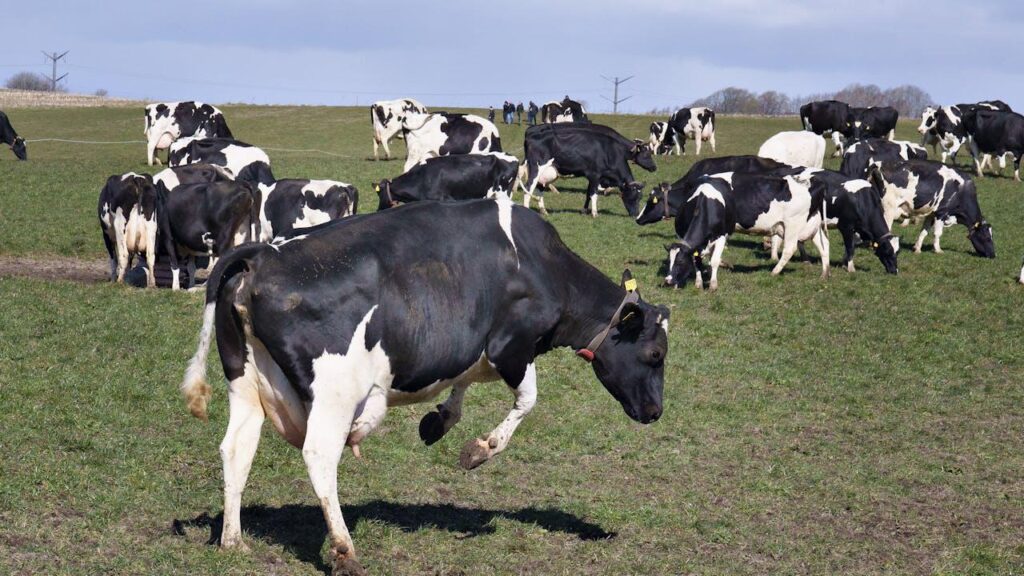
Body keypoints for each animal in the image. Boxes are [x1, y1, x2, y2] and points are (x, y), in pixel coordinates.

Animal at [178, 196, 669, 574]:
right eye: (655, 354)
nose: (655, 412)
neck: (542, 266)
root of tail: (262, 255)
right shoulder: (511, 346)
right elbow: (528, 399)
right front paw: (479, 449)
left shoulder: (473, 348)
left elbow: (461, 385)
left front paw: (440, 421)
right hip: (335, 396)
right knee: (319, 457)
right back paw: (344, 551)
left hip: (245, 385)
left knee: (236, 449)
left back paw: (233, 540)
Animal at [521, 123, 656, 217]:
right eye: (633, 196)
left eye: (640, 197)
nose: (635, 215)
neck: (610, 151)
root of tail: (531, 134)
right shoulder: (595, 175)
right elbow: (593, 194)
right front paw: (594, 213)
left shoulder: (593, 177)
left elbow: (588, 193)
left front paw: (585, 210)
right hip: (536, 168)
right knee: (528, 188)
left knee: (539, 190)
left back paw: (544, 211)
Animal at [664, 172, 828, 290]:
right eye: (669, 261)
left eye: (680, 261)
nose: (668, 280)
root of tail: (812, 181)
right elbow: (698, 260)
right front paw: (699, 282)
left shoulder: (721, 235)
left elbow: (713, 260)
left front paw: (713, 283)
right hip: (812, 226)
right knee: (824, 245)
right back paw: (825, 273)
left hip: (793, 225)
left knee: (790, 249)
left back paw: (774, 272)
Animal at [866, 160, 994, 257]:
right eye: (987, 237)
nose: (993, 255)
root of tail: (879, 164)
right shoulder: (941, 212)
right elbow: (937, 233)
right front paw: (938, 250)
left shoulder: (931, 214)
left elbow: (924, 231)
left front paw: (917, 248)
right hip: (889, 209)